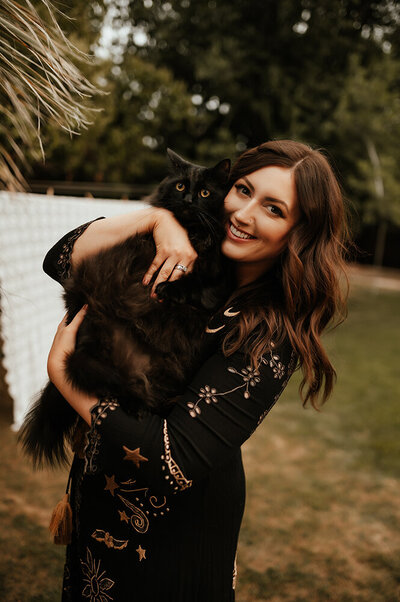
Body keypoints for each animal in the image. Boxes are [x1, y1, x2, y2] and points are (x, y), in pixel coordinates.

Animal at [18, 150, 231, 468]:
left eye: (205, 192)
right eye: (181, 186)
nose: (189, 200)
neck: (191, 233)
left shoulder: (217, 277)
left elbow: (196, 282)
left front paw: (169, 289)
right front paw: (166, 287)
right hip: (87, 348)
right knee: (115, 382)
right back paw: (138, 403)